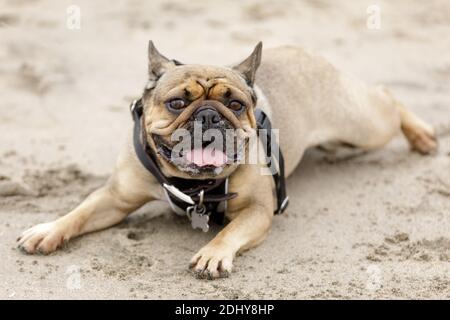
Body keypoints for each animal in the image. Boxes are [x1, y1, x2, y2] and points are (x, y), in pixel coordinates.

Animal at [17, 41, 436, 278]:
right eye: (177, 103)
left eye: (235, 104)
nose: (209, 115)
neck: (194, 185)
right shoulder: (115, 197)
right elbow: (81, 211)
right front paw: (48, 230)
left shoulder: (258, 211)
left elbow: (229, 232)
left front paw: (212, 254)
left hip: (362, 126)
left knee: (388, 99)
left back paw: (422, 135)